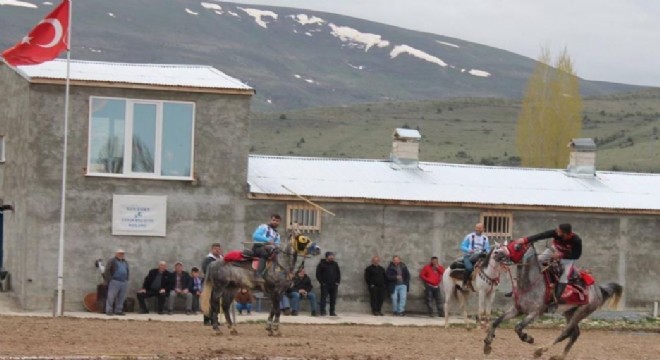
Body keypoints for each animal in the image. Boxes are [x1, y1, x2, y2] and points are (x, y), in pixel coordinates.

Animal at [482, 240, 620, 358]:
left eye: (517, 246)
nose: (496, 253)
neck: (530, 283)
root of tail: (598, 289)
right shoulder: (517, 310)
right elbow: (496, 321)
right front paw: (487, 344)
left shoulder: (535, 313)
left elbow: (518, 327)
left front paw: (528, 338)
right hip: (570, 311)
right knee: (575, 334)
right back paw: (559, 356)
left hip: (581, 312)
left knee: (566, 332)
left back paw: (540, 350)